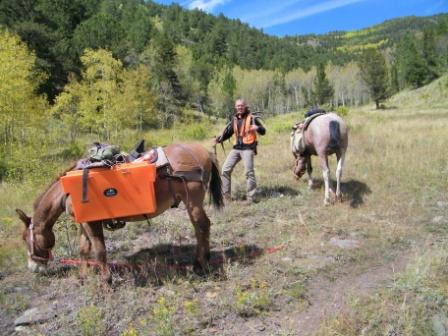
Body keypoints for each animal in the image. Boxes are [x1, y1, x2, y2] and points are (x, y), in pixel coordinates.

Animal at [16, 143, 223, 282]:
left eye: (26, 238)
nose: (33, 268)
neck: (67, 191)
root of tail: (204, 151)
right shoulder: (85, 221)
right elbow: (84, 249)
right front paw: (83, 276)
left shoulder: (92, 222)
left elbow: (100, 251)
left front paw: (106, 280)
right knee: (201, 227)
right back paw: (201, 261)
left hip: (193, 201)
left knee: (202, 226)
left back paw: (201, 263)